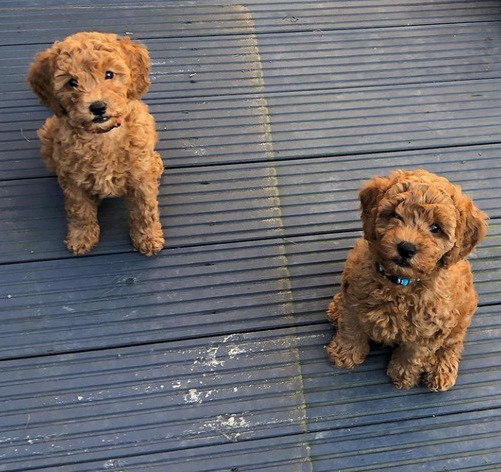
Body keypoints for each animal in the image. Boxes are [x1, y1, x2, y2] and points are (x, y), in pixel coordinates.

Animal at [27, 31, 164, 256]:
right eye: (72, 82)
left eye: (109, 74)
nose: (97, 107)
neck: (102, 135)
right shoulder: (72, 180)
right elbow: (79, 210)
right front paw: (81, 236)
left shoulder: (140, 177)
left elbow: (145, 209)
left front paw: (148, 237)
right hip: (47, 135)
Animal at [326, 170, 486, 390]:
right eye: (395, 214)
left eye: (436, 228)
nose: (406, 248)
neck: (398, 283)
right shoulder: (353, 300)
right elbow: (351, 328)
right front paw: (345, 353)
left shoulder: (430, 329)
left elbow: (413, 352)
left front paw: (403, 375)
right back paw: (335, 308)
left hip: (462, 315)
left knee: (453, 343)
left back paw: (440, 370)